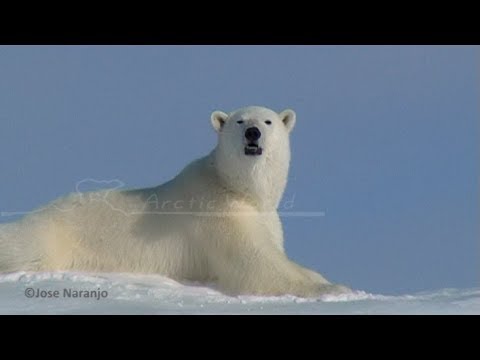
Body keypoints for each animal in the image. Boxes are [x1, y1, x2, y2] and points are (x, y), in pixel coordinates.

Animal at [0, 105, 346, 296]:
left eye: (268, 121)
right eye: (239, 120)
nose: (252, 133)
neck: (235, 187)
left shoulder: (263, 218)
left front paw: (325, 280)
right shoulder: (217, 214)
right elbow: (256, 265)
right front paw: (332, 289)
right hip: (51, 235)